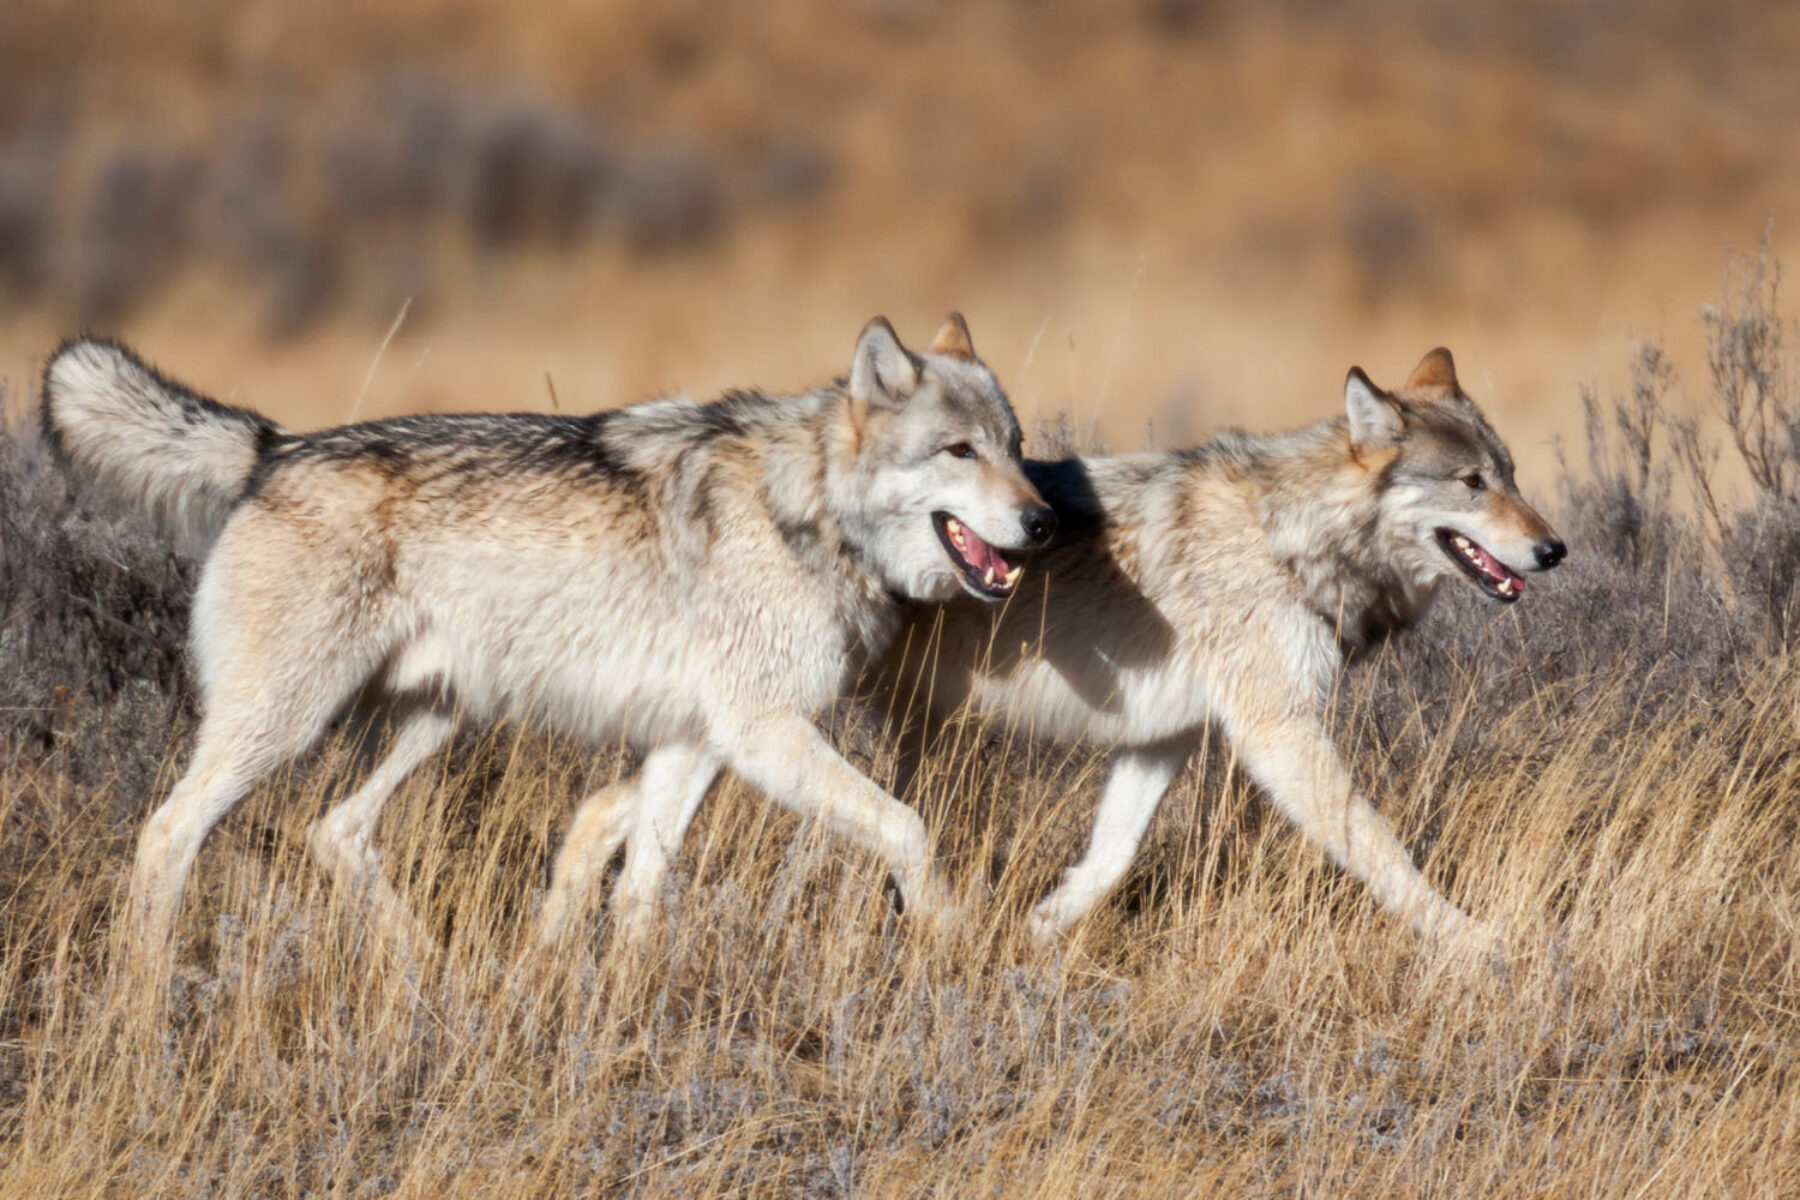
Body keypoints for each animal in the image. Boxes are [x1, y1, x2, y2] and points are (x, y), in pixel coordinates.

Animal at [42, 314, 1056, 961]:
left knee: (335, 830)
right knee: (168, 832)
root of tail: (275, 446)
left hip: (434, 722)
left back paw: (433, 981)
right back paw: (144, 1003)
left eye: (1015, 446)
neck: (807, 509)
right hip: (286, 727)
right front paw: (950, 937)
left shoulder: (694, 742)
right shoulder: (761, 733)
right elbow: (909, 828)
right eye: (959, 452)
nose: (1045, 523)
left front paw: (626, 1000)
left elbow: (637, 880)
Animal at [560, 348, 1563, 949]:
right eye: (1471, 484)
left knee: (603, 813)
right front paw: (1477, 945)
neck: (1289, 539)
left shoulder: (1164, 738)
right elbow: (1383, 851)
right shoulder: (1279, 735)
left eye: (1512, 475)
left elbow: (1109, 858)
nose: (1555, 549)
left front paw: (1039, 931)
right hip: (772, 723)